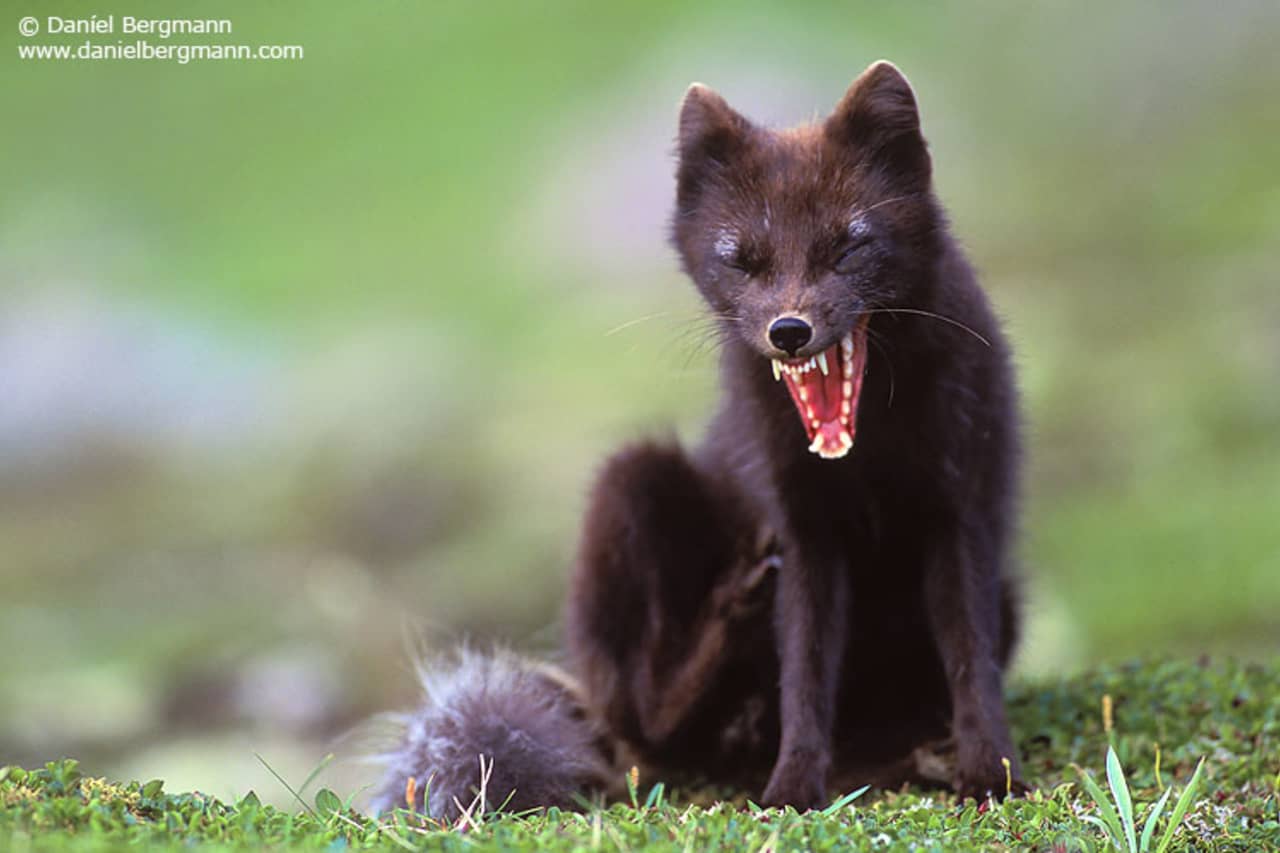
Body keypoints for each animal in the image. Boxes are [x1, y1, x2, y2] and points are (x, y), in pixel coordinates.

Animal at [373, 56, 1024, 814]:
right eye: (742, 259)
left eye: (849, 245)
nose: (790, 330)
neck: (869, 454)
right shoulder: (800, 527)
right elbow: (806, 669)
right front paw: (792, 788)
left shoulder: (961, 509)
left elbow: (969, 655)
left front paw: (993, 771)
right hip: (630, 477)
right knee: (650, 719)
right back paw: (735, 621)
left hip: (1004, 597)